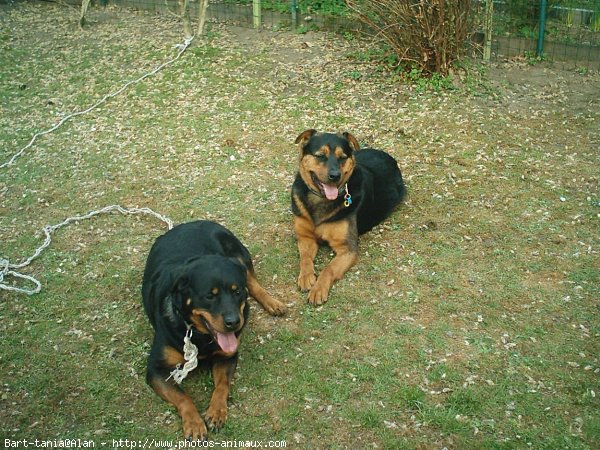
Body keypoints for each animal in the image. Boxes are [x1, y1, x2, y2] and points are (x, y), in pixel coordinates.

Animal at [144, 221, 288, 440]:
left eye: (237, 292)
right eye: (209, 296)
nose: (234, 322)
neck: (200, 336)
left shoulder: (227, 355)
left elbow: (222, 385)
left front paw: (216, 411)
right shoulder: (155, 369)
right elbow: (182, 396)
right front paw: (194, 423)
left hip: (239, 255)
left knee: (253, 282)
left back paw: (272, 303)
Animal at [292, 129, 406, 306]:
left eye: (342, 157)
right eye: (320, 156)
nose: (335, 175)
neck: (322, 200)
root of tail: (389, 157)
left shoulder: (347, 249)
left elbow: (329, 269)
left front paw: (318, 289)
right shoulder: (305, 237)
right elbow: (305, 257)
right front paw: (306, 276)